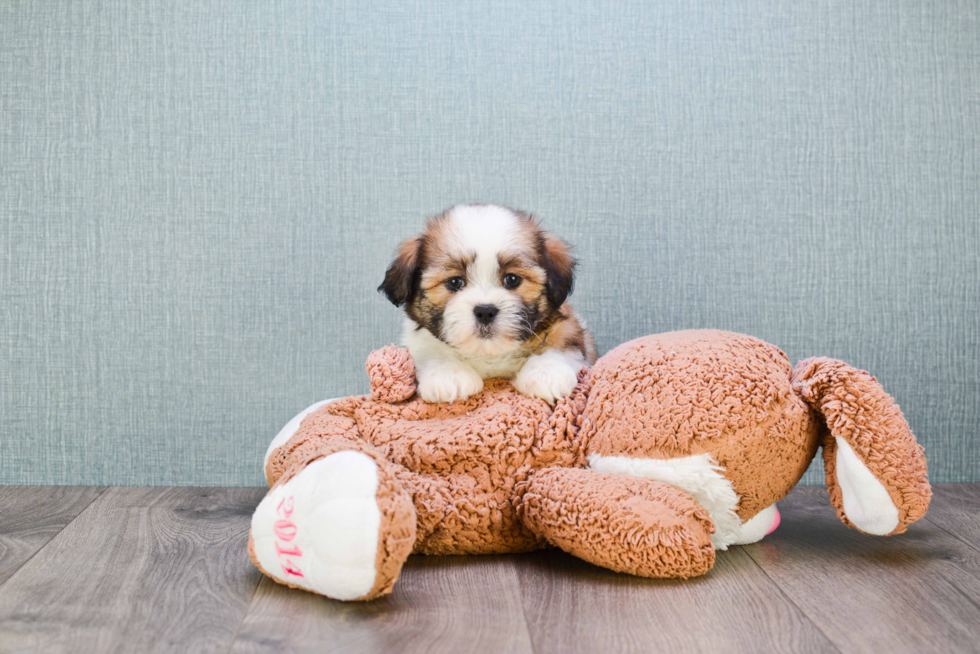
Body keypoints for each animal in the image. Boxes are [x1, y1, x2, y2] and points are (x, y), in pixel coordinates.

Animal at [378, 205, 596, 404]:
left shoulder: (567, 327)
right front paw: (448, 374)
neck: (488, 354)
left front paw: (547, 372)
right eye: (455, 282)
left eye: (512, 280)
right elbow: (432, 351)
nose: (485, 311)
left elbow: (559, 343)